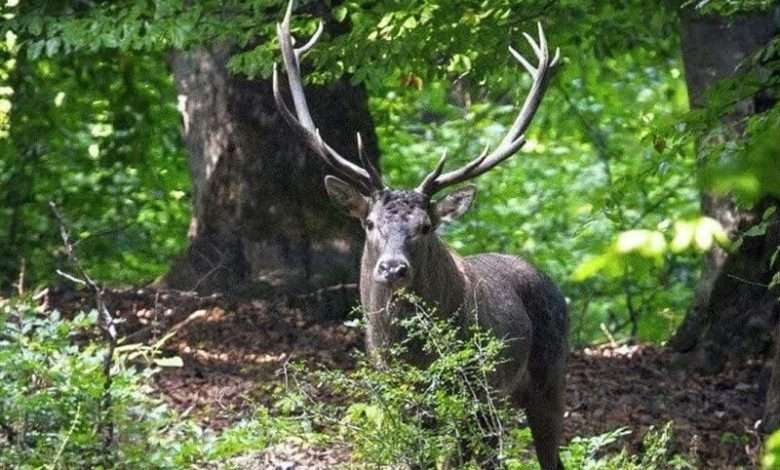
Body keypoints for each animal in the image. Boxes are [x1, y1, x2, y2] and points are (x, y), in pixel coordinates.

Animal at [274, 1, 568, 468]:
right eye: (369, 223)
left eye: (426, 227)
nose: (393, 269)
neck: (412, 353)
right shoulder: (395, 390)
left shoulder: (471, 388)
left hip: (545, 377)